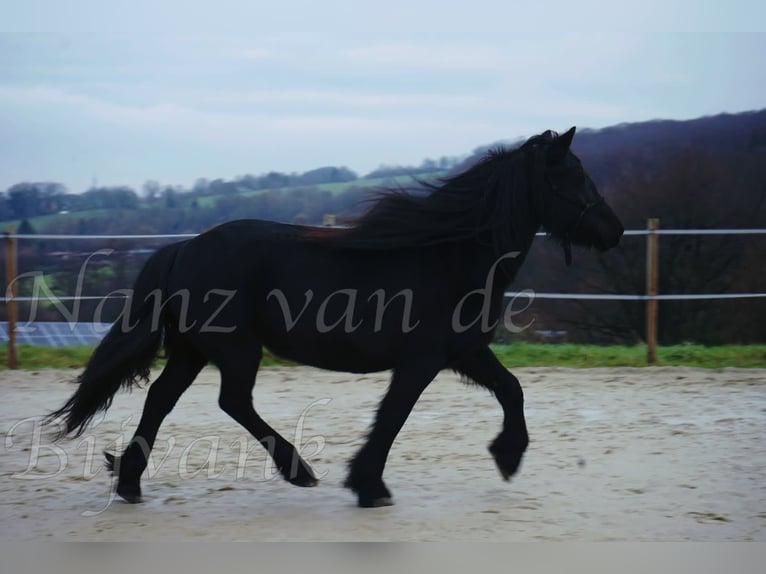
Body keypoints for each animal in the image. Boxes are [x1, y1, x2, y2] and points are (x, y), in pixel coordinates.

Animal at [48, 127, 624, 508]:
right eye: (573, 176)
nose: (614, 229)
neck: (449, 254)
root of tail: (183, 248)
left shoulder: (464, 352)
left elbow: (512, 389)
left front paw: (507, 456)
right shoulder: (423, 360)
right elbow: (393, 416)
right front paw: (370, 486)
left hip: (194, 349)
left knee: (161, 399)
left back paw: (129, 482)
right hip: (235, 348)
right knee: (232, 400)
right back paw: (298, 470)